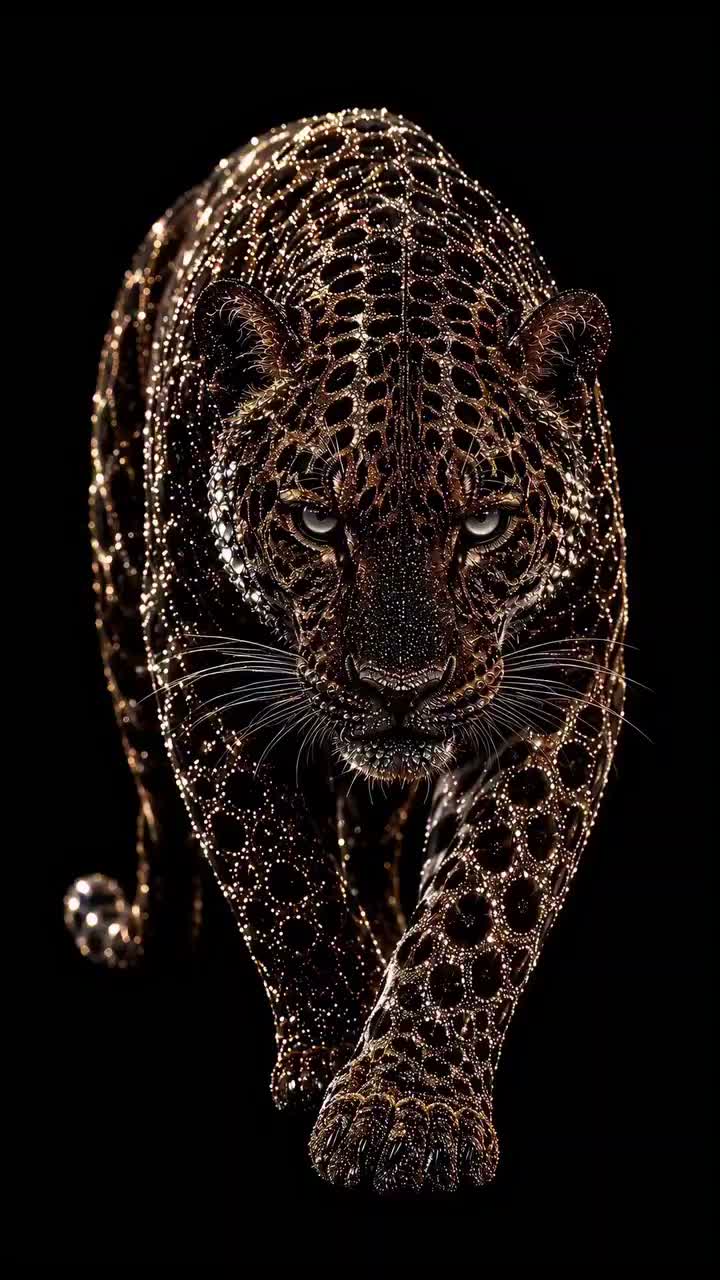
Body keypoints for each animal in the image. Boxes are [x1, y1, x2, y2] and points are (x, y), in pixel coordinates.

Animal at [65, 108, 627, 1195]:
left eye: (485, 525)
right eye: (319, 522)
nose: (397, 687)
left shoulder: (567, 670)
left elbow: (488, 896)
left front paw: (403, 1105)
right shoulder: (204, 658)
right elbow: (280, 877)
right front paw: (335, 1048)